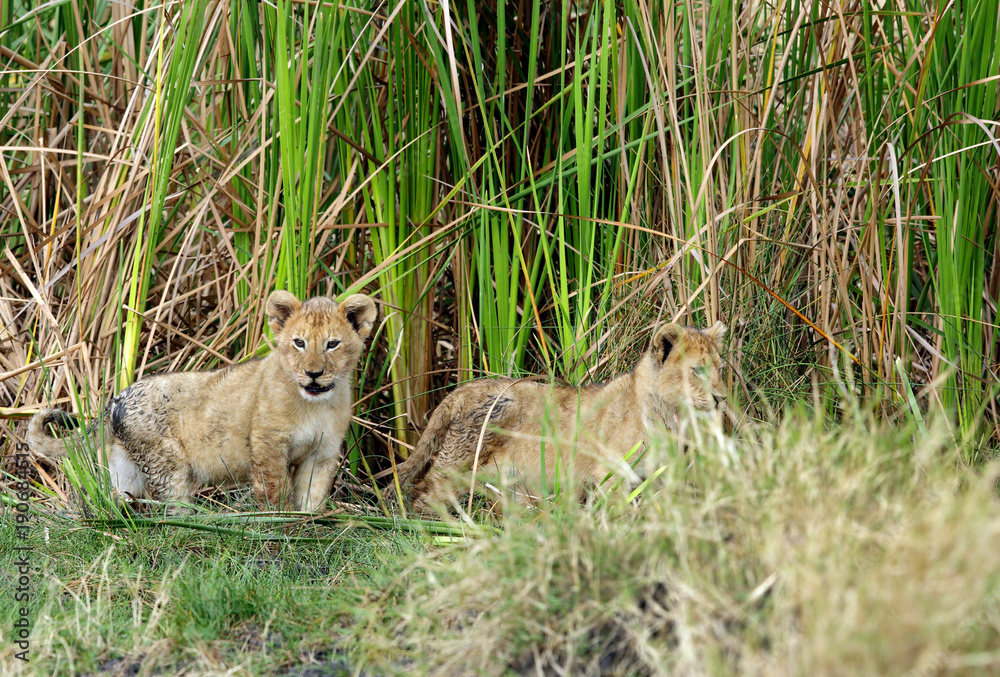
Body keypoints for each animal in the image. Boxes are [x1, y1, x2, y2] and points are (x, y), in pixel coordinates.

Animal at [28, 291, 378, 513]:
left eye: (332, 344)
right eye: (299, 343)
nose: (314, 374)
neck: (314, 405)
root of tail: (118, 398)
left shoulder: (323, 452)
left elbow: (312, 495)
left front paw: (308, 525)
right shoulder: (268, 445)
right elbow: (275, 490)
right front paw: (280, 524)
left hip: (126, 466)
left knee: (116, 493)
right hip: (168, 463)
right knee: (173, 505)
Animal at [395, 322, 727, 513]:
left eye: (720, 369)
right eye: (697, 371)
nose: (721, 398)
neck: (669, 414)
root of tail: (462, 390)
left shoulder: (657, 476)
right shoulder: (610, 473)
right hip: (455, 467)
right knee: (423, 497)